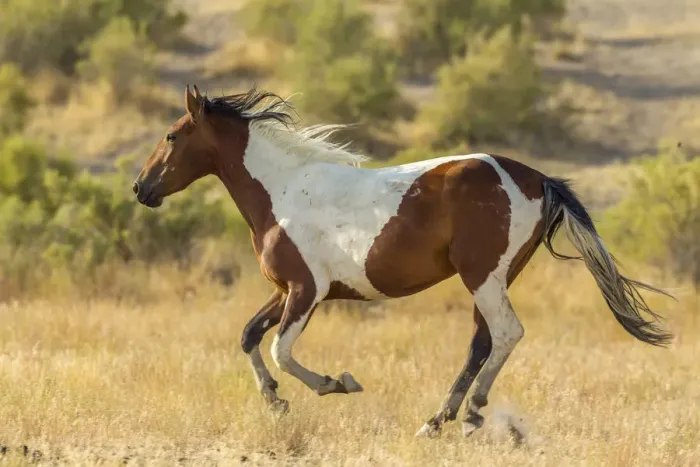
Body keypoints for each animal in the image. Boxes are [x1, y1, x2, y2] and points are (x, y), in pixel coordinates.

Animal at [133, 85, 672, 438]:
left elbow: (282, 351)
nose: (141, 188)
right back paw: (440, 420)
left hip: (483, 276)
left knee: (505, 335)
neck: (281, 191)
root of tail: (538, 179)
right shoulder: (285, 289)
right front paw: (275, 401)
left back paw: (468, 413)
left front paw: (337, 383)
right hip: (495, 279)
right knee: (483, 342)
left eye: (172, 136)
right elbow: (249, 336)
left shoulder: (307, 291)